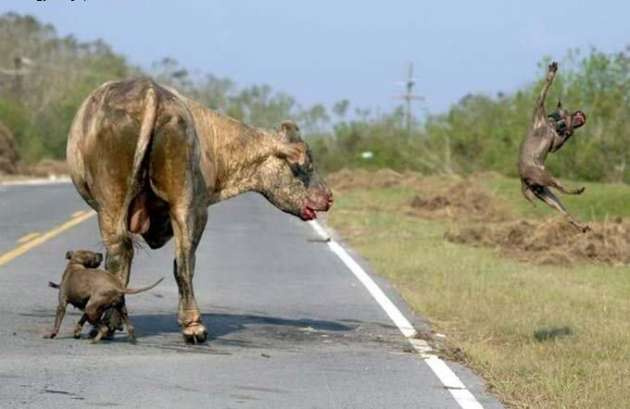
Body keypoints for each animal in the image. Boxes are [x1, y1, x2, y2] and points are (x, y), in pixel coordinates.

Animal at [66, 79, 336, 342]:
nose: (329, 197)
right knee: (177, 261)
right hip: (174, 204)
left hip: (127, 204)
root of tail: (150, 92)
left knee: (138, 256)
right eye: (307, 166)